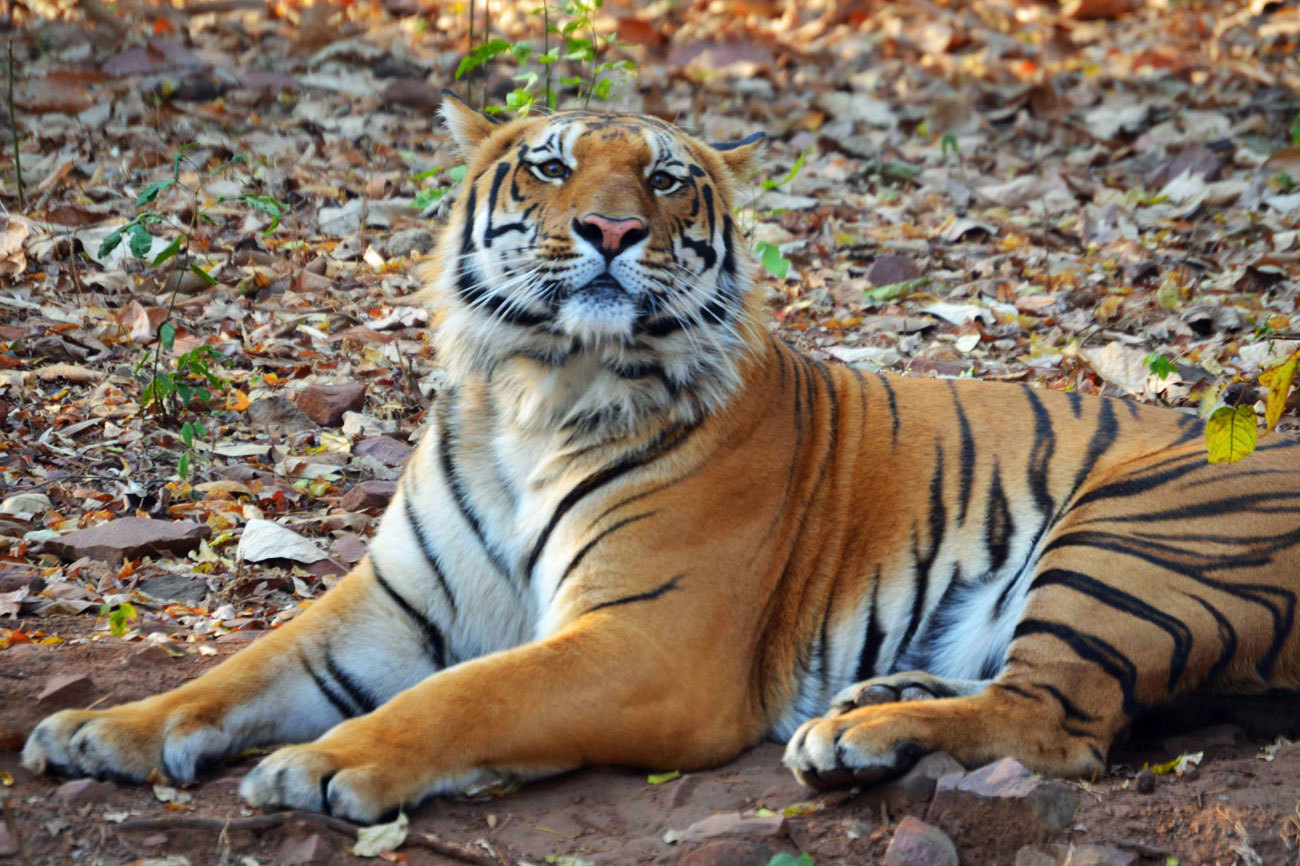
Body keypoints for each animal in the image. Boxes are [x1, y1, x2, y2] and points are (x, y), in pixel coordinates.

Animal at [23, 92, 1300, 825]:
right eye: (548, 168)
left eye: (667, 178)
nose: (611, 229)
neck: (534, 388)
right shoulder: (389, 604)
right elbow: (237, 669)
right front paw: (101, 733)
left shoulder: (648, 639)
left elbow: (471, 690)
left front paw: (333, 764)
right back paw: (880, 700)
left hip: (1133, 528)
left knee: (1063, 722)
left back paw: (858, 736)